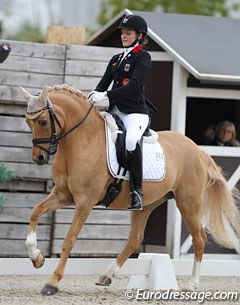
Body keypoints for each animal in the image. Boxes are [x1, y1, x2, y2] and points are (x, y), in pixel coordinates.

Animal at [20, 84, 240, 294]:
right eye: (28, 122)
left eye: (43, 122)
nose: (39, 158)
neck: (83, 140)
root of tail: (198, 150)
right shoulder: (63, 195)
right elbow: (35, 212)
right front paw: (36, 257)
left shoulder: (85, 201)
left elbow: (69, 239)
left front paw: (52, 283)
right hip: (147, 204)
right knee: (135, 238)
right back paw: (106, 275)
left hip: (188, 202)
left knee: (199, 238)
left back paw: (192, 285)